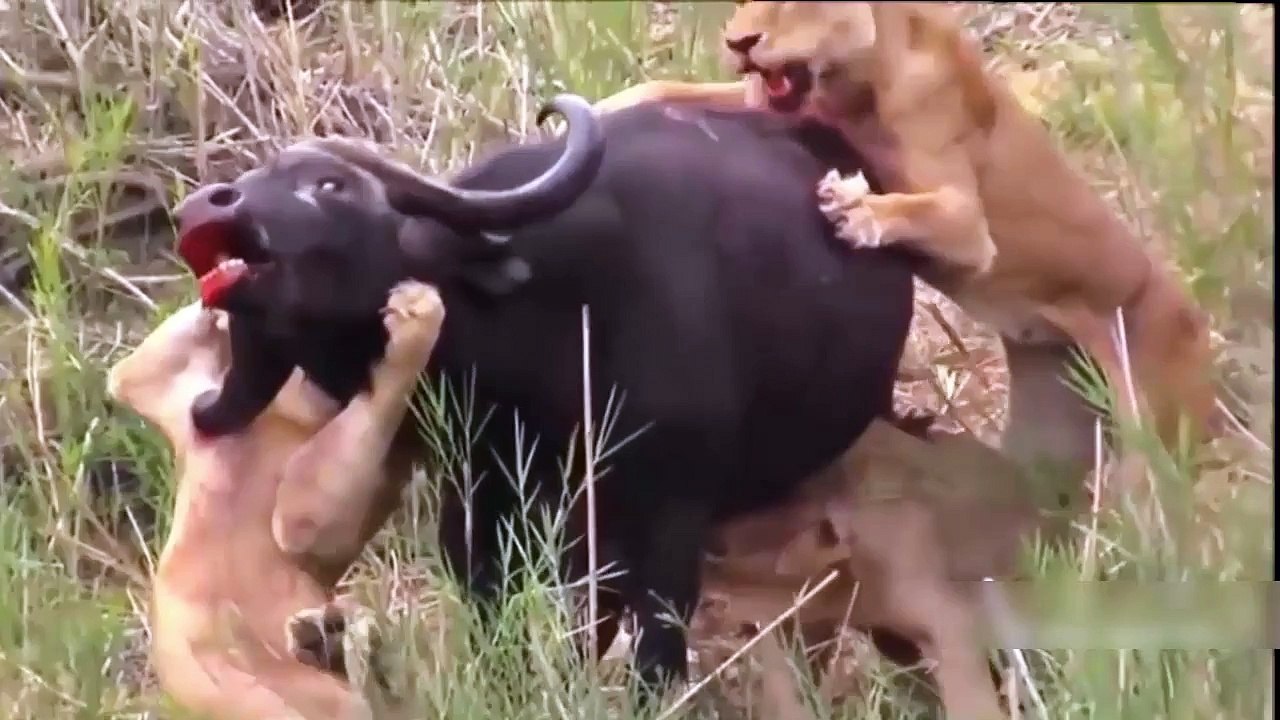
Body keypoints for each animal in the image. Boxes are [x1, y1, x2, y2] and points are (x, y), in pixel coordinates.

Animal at [594, 1, 1224, 464]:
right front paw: (606, 107)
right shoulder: (771, 107)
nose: (738, 42)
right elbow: (672, 89)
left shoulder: (972, 230)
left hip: (1158, 434)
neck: (854, 90)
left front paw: (856, 210)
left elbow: (919, 209)